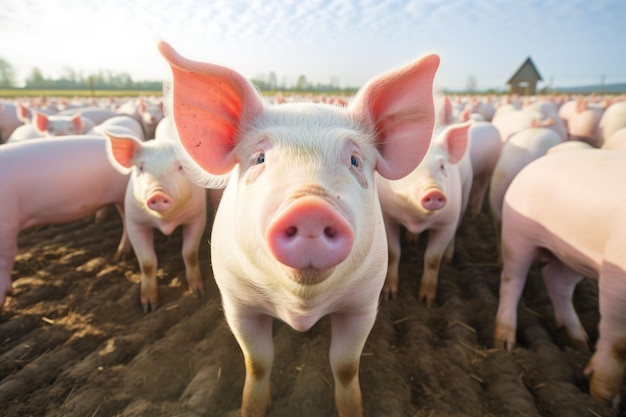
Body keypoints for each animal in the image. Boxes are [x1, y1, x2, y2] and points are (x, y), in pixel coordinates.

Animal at [105, 132, 207, 310]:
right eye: (141, 168)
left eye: (181, 167)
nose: (158, 193)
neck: (165, 221)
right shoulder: (135, 223)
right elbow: (147, 263)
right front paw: (148, 307)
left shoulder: (198, 216)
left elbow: (190, 254)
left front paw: (199, 293)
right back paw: (120, 257)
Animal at [157, 40, 438, 416]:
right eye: (260, 158)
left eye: (354, 160)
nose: (310, 206)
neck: (302, 307)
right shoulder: (236, 301)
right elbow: (257, 363)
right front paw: (253, 408)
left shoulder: (364, 303)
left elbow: (346, 367)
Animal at [372, 122, 470, 304]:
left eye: (442, 166)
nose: (433, 191)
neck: (417, 219)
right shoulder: (388, 217)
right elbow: (393, 252)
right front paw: (389, 295)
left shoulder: (447, 222)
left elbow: (433, 258)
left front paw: (426, 301)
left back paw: (448, 259)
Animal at [492, 148, 624, 408]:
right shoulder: (616, 275)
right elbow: (618, 343)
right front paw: (604, 400)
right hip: (517, 234)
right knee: (512, 280)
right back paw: (504, 343)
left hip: (572, 254)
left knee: (556, 279)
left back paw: (580, 341)